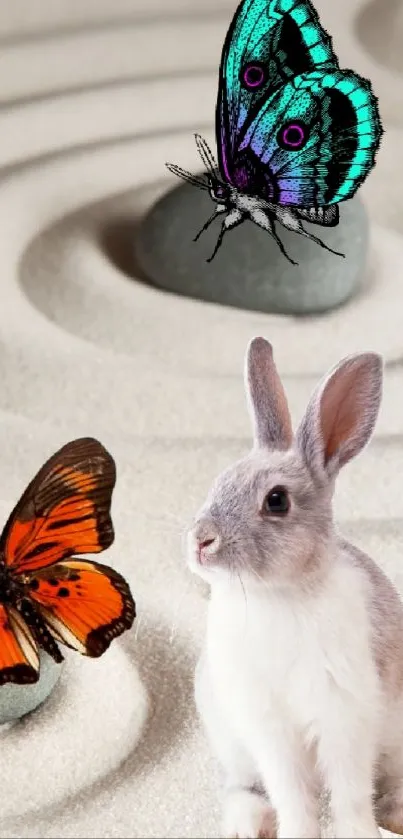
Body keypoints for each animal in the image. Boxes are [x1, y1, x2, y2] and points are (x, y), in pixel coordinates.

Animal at [187, 336, 403, 839]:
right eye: (218, 482)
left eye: (277, 501)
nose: (201, 540)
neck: (276, 595)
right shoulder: (271, 732)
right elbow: (293, 795)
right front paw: (296, 833)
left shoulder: (345, 719)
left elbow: (349, 795)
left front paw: (359, 834)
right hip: (232, 743)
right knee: (240, 787)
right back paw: (249, 825)